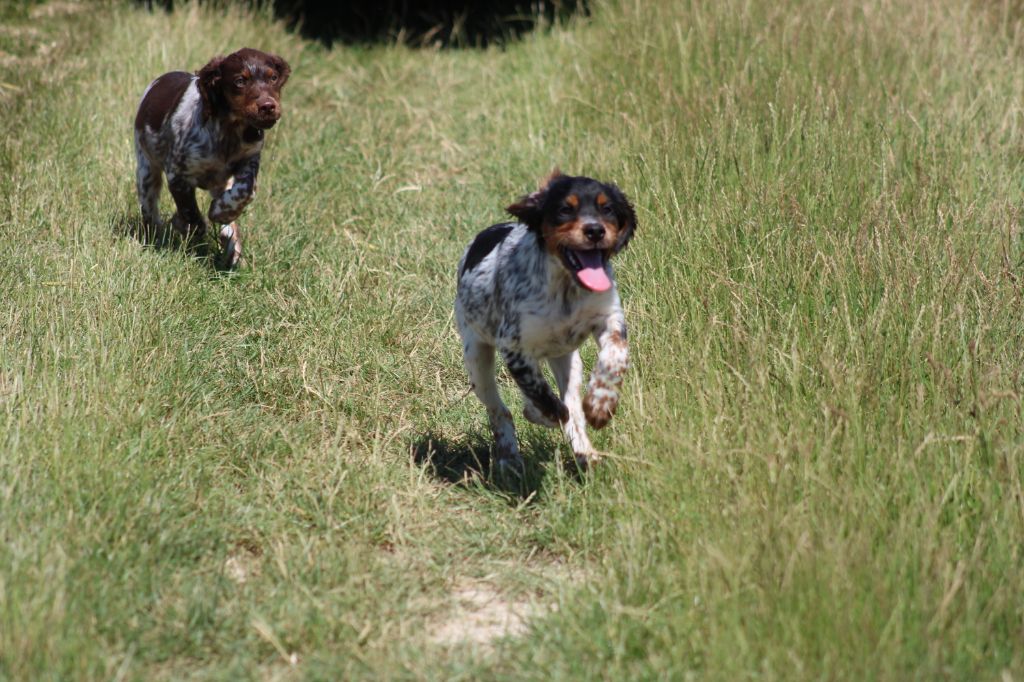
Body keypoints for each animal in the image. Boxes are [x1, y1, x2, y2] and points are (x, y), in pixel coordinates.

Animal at [134, 46, 290, 266]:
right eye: (240, 81)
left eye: (273, 78)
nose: (268, 106)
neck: (228, 130)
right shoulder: (178, 175)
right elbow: (191, 213)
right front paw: (183, 224)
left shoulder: (249, 158)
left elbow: (246, 191)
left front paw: (220, 212)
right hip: (146, 170)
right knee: (150, 209)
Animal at [454, 171, 634, 466]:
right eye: (565, 209)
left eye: (607, 208)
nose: (595, 231)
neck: (566, 286)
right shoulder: (514, 347)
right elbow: (543, 397)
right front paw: (537, 413)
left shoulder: (609, 317)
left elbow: (614, 358)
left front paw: (600, 404)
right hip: (477, 359)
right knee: (499, 410)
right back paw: (509, 458)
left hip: (568, 361)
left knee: (572, 405)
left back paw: (586, 453)